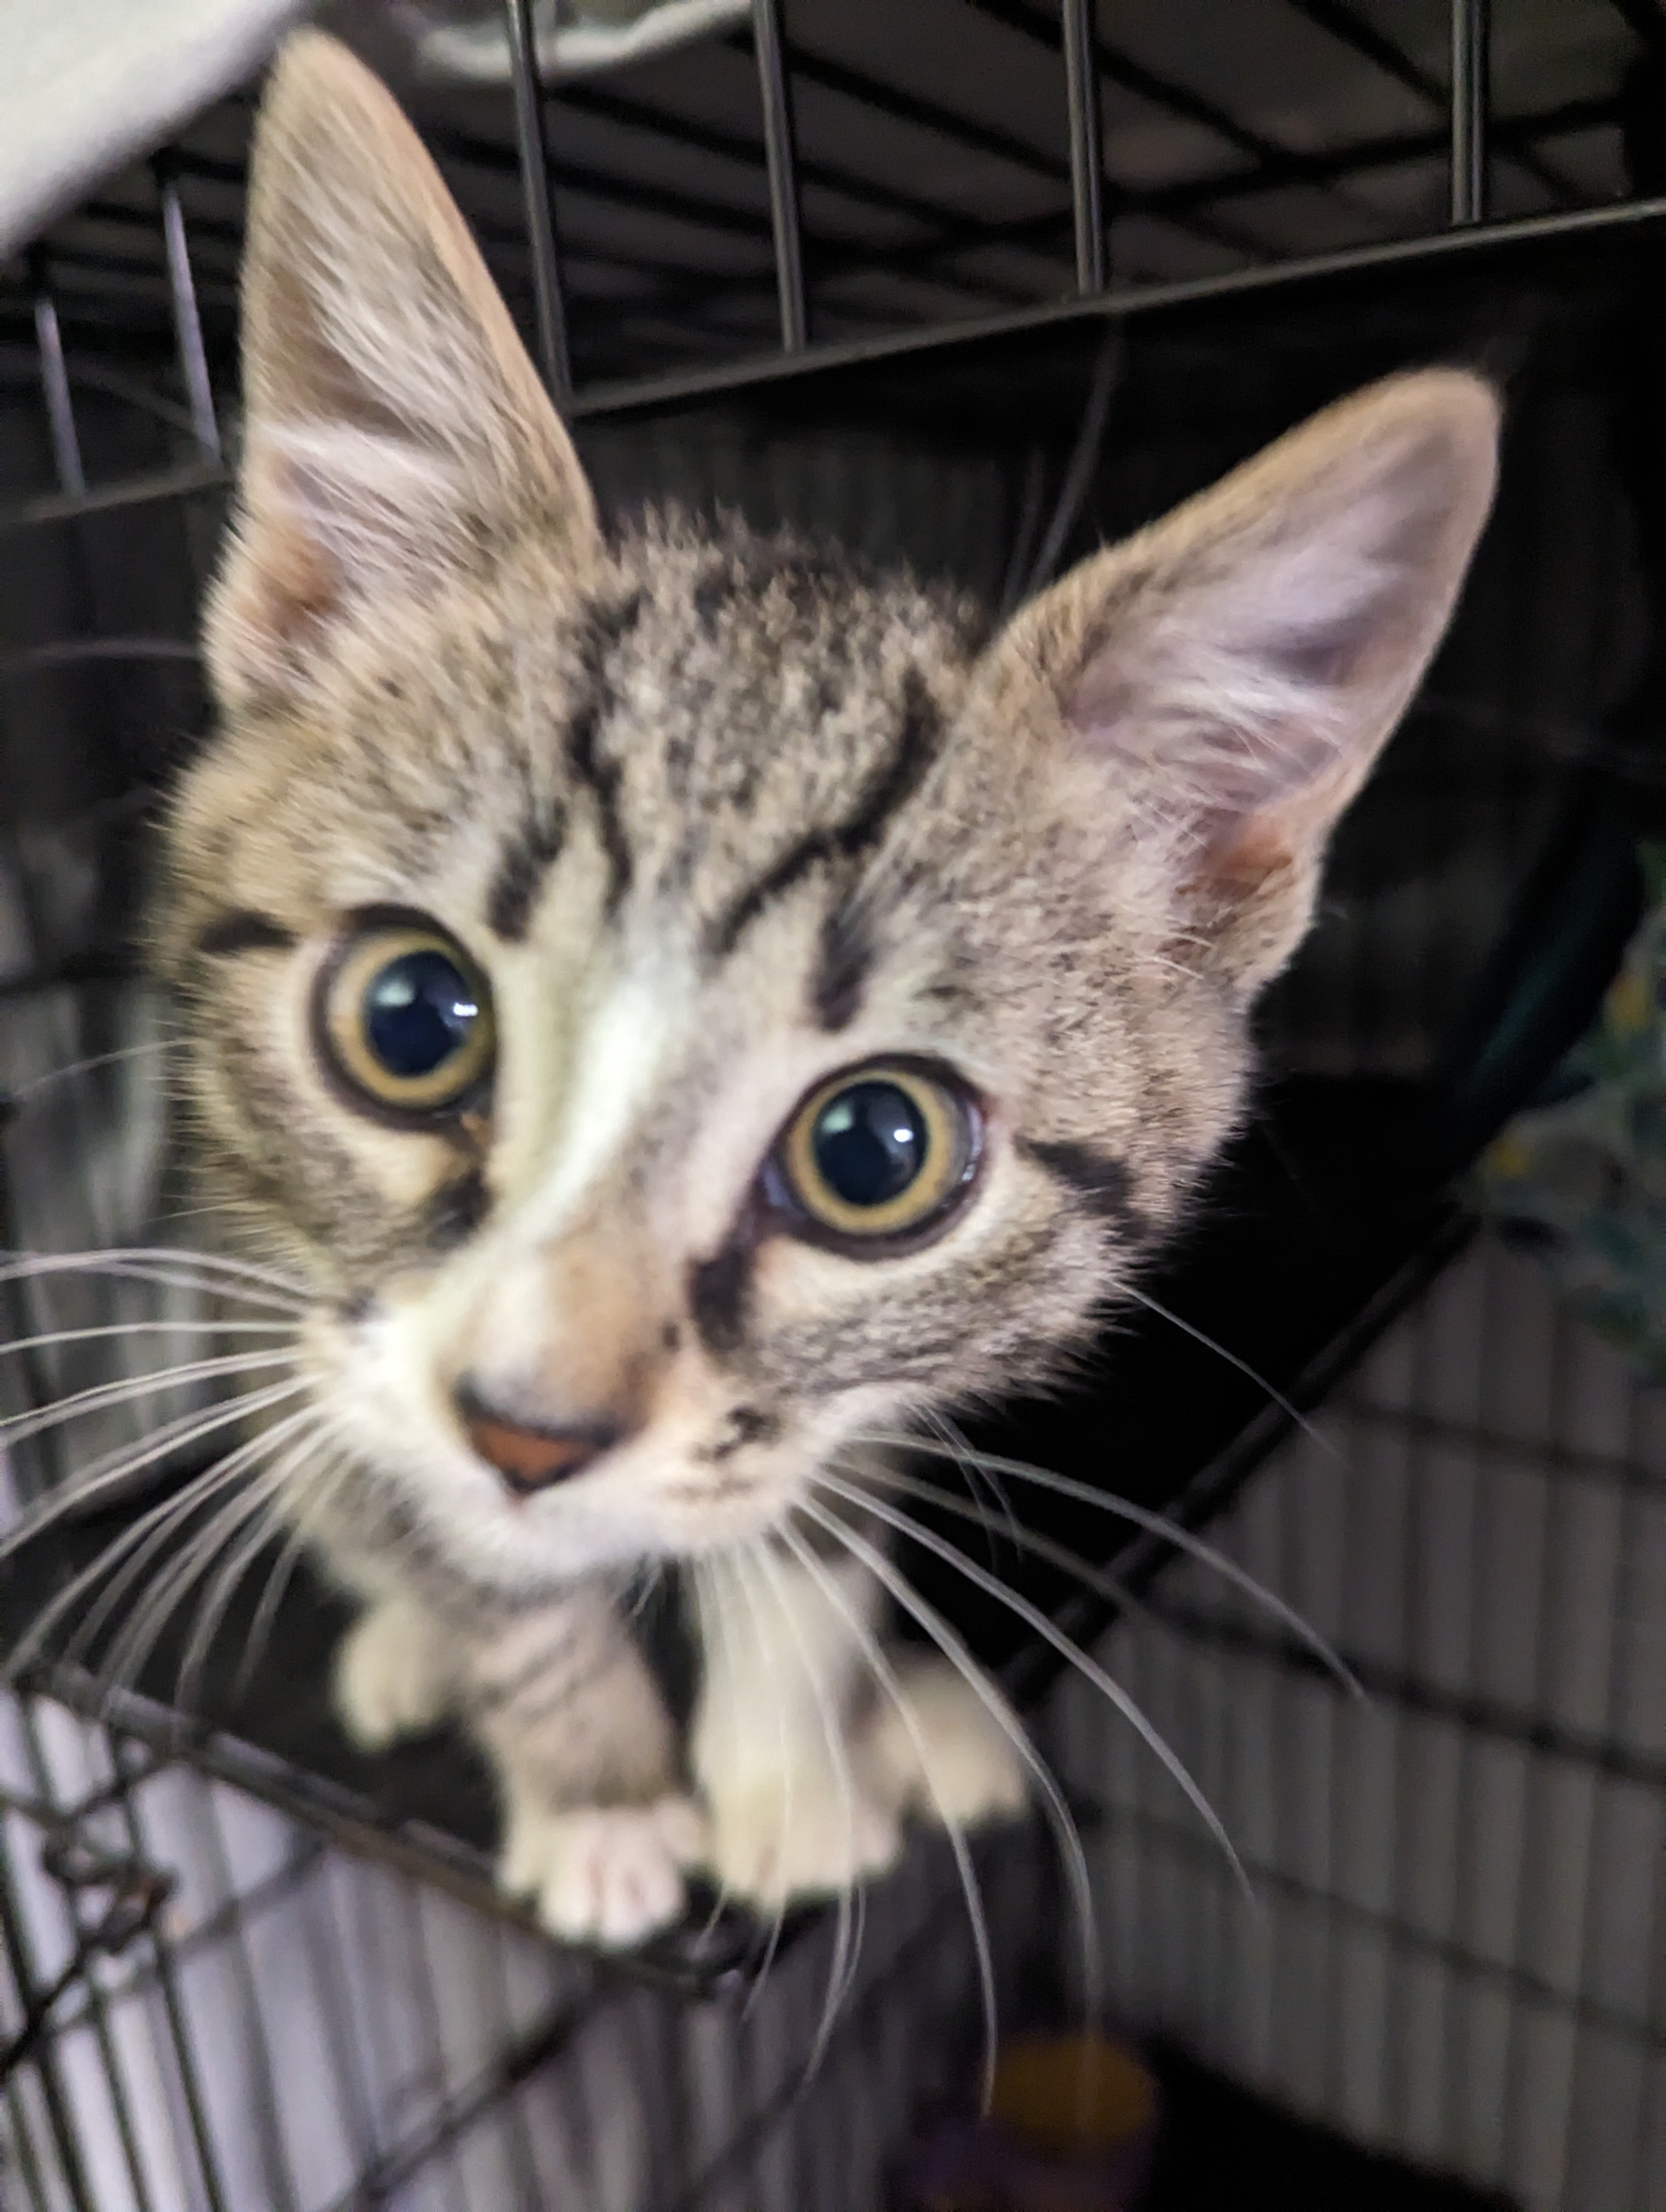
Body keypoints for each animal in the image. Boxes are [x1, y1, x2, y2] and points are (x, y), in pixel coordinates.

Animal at [156, 25, 1504, 1946]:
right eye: (409, 1020)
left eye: (875, 1150)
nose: (527, 1437)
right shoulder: (303, 1293)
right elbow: (483, 1566)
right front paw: (596, 1785)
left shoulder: (867, 1373)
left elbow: (810, 1527)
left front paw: (789, 1777)